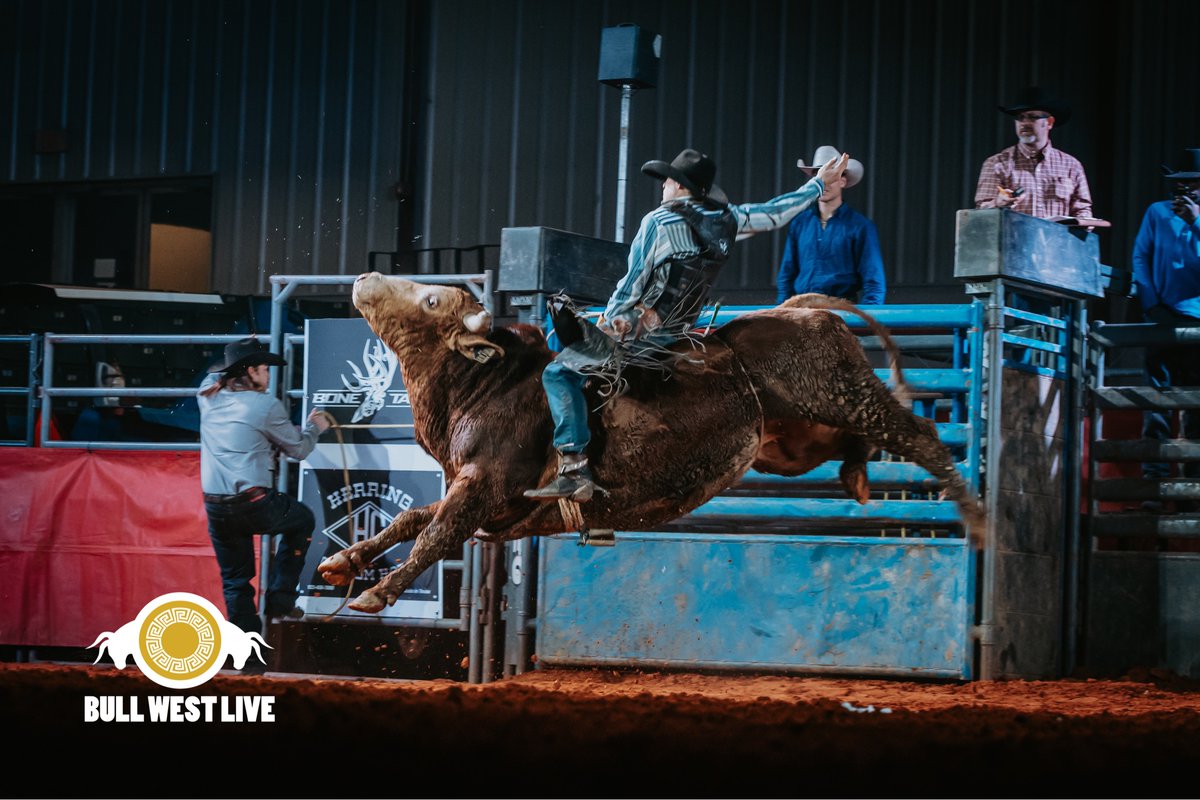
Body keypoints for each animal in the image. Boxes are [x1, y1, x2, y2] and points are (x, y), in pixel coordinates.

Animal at [319, 273, 984, 613]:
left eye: (432, 297)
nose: (365, 277)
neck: (486, 384)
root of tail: (801, 310)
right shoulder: (493, 503)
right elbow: (413, 520)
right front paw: (344, 563)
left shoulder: (484, 486)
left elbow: (434, 532)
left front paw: (376, 592)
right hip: (791, 443)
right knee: (855, 446)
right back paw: (858, 476)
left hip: (840, 390)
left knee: (920, 435)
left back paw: (978, 519)